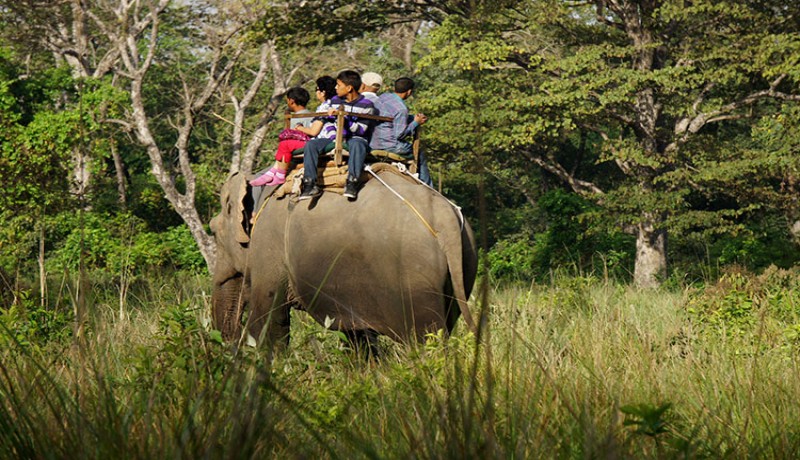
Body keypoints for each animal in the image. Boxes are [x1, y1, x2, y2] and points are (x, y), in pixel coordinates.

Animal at [209, 166, 478, 352]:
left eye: (213, 231)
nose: (228, 344)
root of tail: (445, 217)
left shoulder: (268, 243)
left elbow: (269, 318)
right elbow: (357, 336)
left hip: (415, 279)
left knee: (425, 340)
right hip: (462, 267)